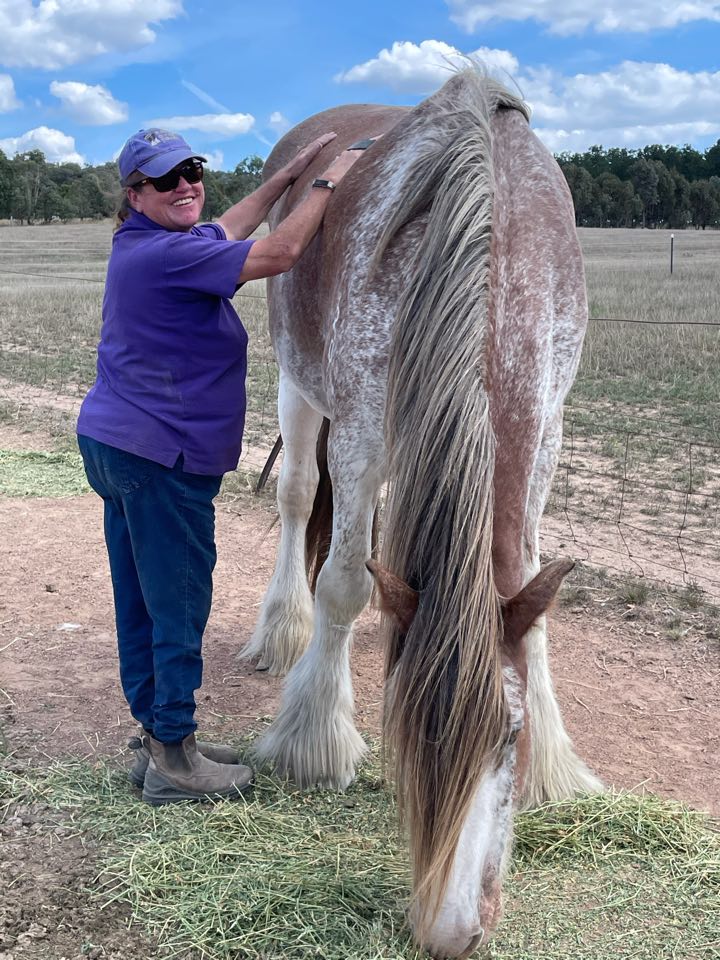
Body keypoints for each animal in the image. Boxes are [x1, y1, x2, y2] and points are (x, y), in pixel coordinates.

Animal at [242, 71, 600, 956]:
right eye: (407, 741)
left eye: (511, 739)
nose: (450, 931)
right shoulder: (362, 428)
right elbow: (342, 584)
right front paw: (315, 742)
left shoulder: (550, 428)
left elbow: (531, 599)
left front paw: (554, 769)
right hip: (299, 386)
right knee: (296, 501)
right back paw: (284, 632)